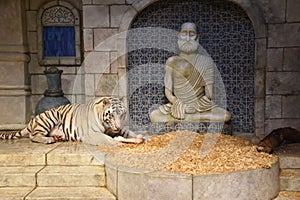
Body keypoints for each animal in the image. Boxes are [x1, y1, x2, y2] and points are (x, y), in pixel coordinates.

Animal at [0, 97, 144, 145]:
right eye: (112, 115)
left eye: (122, 114)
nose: (117, 127)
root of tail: (32, 119)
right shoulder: (92, 134)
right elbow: (107, 139)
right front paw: (118, 143)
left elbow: (129, 133)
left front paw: (140, 137)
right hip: (53, 116)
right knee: (33, 135)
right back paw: (48, 139)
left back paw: (58, 138)